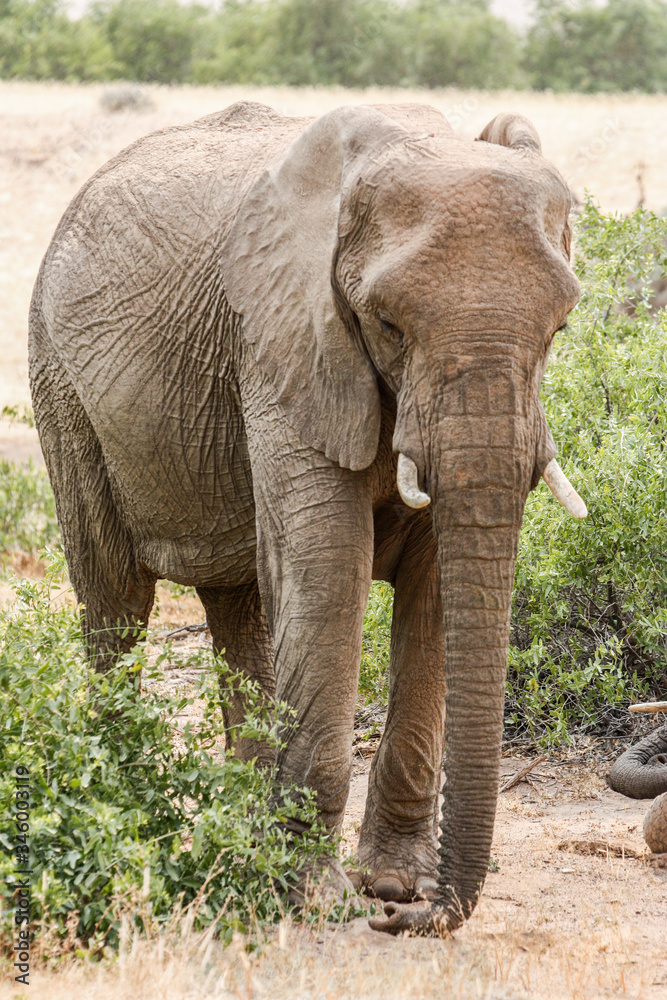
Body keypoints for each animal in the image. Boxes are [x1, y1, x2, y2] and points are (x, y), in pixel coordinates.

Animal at [29, 100, 586, 936]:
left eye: (558, 329)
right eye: (387, 325)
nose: (413, 920)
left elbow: (433, 591)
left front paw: (389, 884)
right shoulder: (284, 345)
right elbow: (329, 570)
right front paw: (319, 899)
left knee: (241, 605)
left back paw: (240, 833)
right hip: (60, 382)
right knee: (114, 601)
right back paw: (125, 806)